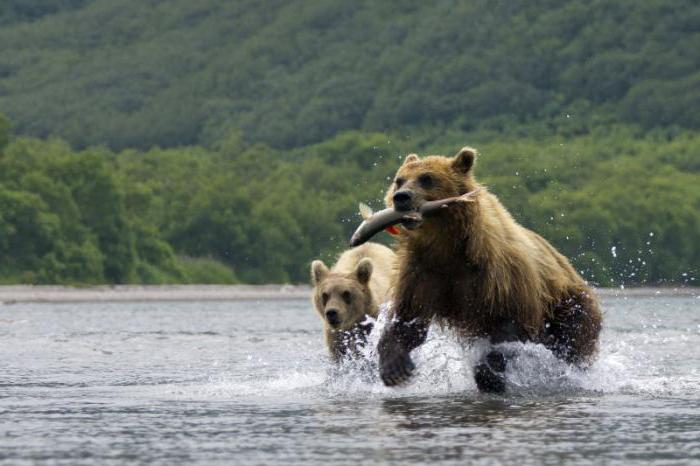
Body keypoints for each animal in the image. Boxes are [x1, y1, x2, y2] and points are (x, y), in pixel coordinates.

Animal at [378, 147, 600, 392]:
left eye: (427, 178)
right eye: (399, 180)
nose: (402, 197)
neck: (449, 245)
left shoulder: (498, 275)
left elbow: (507, 328)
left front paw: (489, 375)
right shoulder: (423, 273)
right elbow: (408, 318)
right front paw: (394, 367)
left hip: (570, 308)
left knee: (572, 347)